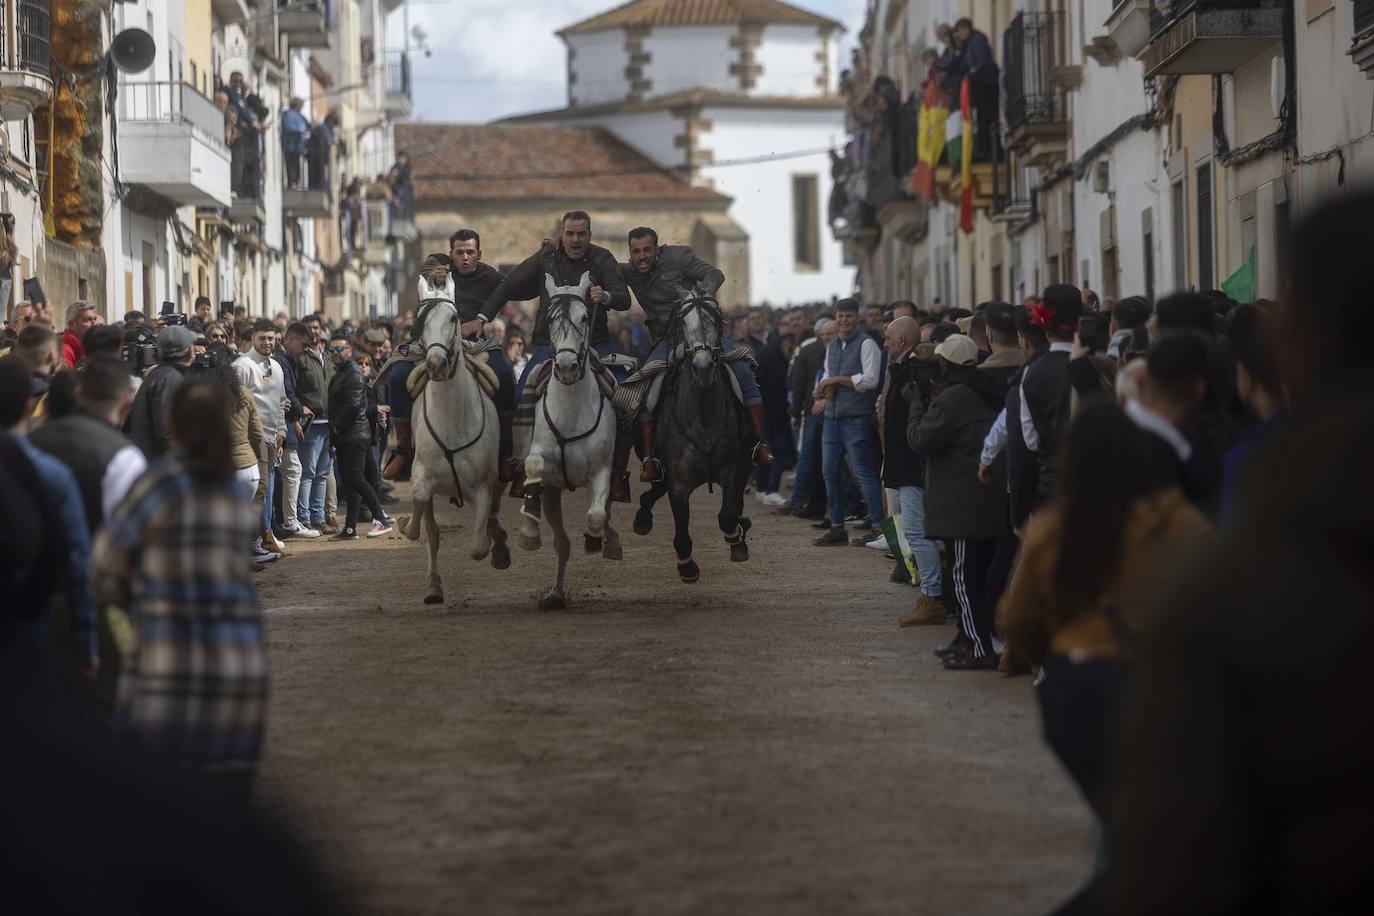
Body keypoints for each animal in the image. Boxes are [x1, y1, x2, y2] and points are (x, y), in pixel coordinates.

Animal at [401, 276, 511, 604]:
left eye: (453, 318)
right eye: (419, 321)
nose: (436, 364)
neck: (452, 420)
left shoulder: (483, 486)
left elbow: (478, 546)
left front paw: (495, 547)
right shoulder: (422, 476)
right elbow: (423, 520)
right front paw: (406, 526)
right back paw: (433, 586)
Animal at [516, 271, 623, 609]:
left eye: (585, 316)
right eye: (549, 319)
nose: (565, 368)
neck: (572, 408)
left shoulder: (602, 471)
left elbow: (596, 515)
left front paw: (599, 539)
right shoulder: (544, 464)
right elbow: (534, 466)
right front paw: (528, 533)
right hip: (553, 493)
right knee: (561, 543)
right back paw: (555, 594)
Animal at [632, 293, 752, 579]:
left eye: (715, 320)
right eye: (683, 323)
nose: (703, 366)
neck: (702, 417)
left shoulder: (733, 470)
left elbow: (727, 516)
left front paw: (737, 539)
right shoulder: (678, 482)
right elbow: (681, 532)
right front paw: (687, 567)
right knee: (653, 489)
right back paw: (642, 518)